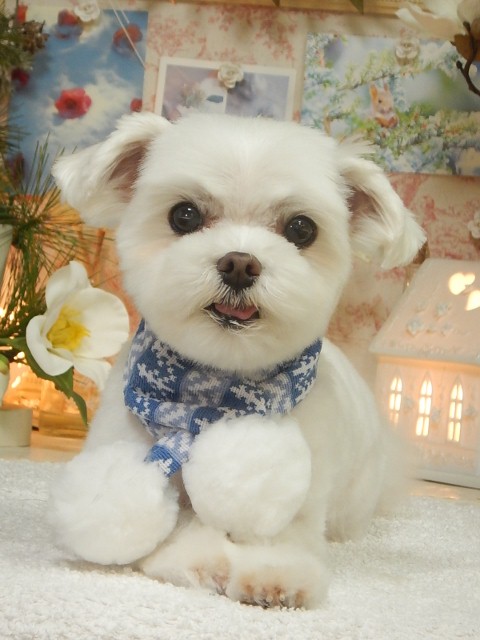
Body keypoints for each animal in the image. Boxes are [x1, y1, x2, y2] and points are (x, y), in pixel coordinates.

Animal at [50, 112, 425, 609]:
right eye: (184, 215)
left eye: (301, 229)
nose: (240, 264)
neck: (208, 396)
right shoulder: (128, 442)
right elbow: (168, 522)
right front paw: (198, 558)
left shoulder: (302, 479)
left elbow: (283, 529)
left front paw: (274, 574)